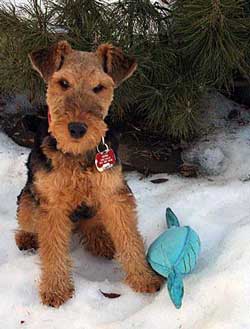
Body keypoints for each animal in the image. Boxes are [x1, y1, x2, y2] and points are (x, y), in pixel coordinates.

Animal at [15, 41, 162, 308]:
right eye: (63, 83)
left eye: (99, 87)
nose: (77, 129)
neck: (76, 154)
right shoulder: (51, 205)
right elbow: (52, 248)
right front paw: (56, 290)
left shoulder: (115, 195)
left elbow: (130, 238)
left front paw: (144, 278)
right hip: (29, 202)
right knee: (27, 223)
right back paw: (27, 239)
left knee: (91, 224)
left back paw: (102, 240)